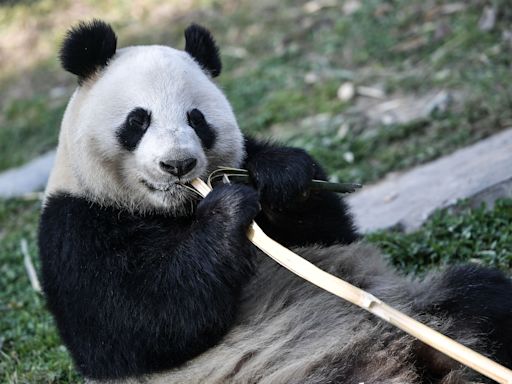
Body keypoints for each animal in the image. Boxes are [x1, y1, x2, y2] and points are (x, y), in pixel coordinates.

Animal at [39, 21, 512, 384]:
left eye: (197, 119)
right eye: (138, 121)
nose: (178, 165)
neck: (173, 211)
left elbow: (329, 230)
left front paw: (281, 177)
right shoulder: (75, 225)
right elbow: (138, 322)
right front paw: (227, 211)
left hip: (419, 302)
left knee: (480, 298)